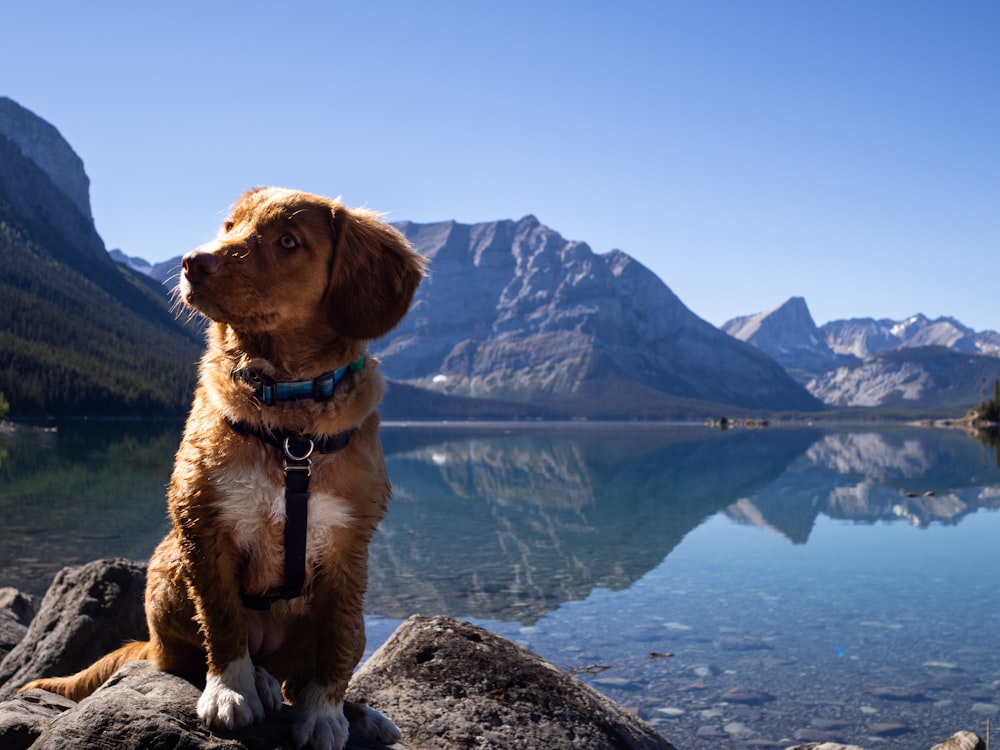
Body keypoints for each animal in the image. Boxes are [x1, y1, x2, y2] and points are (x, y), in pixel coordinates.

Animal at [20, 188, 426, 750]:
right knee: (190, 656)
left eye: (288, 241)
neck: (288, 418)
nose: (193, 261)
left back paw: (355, 711)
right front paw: (231, 691)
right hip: (167, 571)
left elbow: (337, 646)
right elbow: (222, 620)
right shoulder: (203, 525)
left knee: (305, 669)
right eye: (231, 226)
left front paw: (326, 713)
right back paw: (259, 681)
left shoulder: (350, 549)